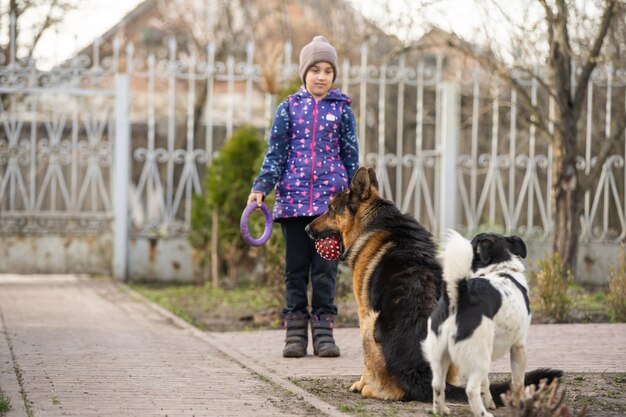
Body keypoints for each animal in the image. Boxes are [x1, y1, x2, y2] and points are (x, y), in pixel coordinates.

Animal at [422, 231, 528, 416]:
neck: (500, 268)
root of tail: (459, 297)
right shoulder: (518, 346)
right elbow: (517, 382)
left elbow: (485, 383)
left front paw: (489, 402)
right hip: (480, 358)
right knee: (470, 389)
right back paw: (482, 413)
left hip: (441, 355)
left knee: (437, 384)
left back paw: (441, 410)